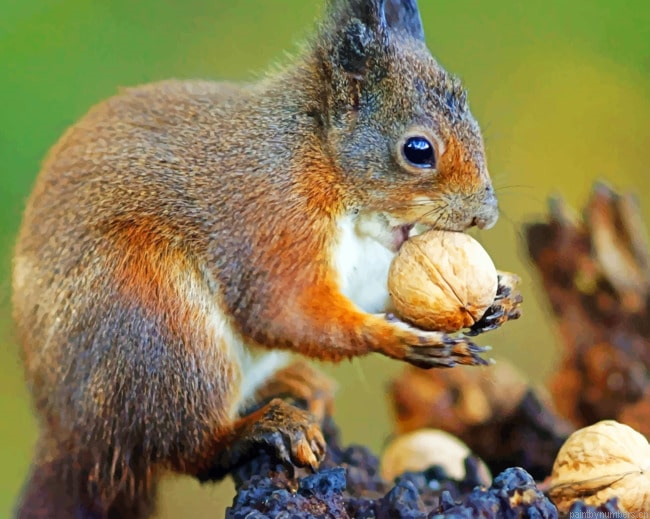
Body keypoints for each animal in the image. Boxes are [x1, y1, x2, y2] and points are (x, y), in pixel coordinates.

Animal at [11, 0, 515, 517]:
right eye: (418, 150)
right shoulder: (272, 218)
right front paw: (400, 339)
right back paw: (260, 428)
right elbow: (280, 310)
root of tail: (74, 442)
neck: (325, 165)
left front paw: (497, 296)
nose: (486, 216)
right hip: (158, 328)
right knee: (188, 448)